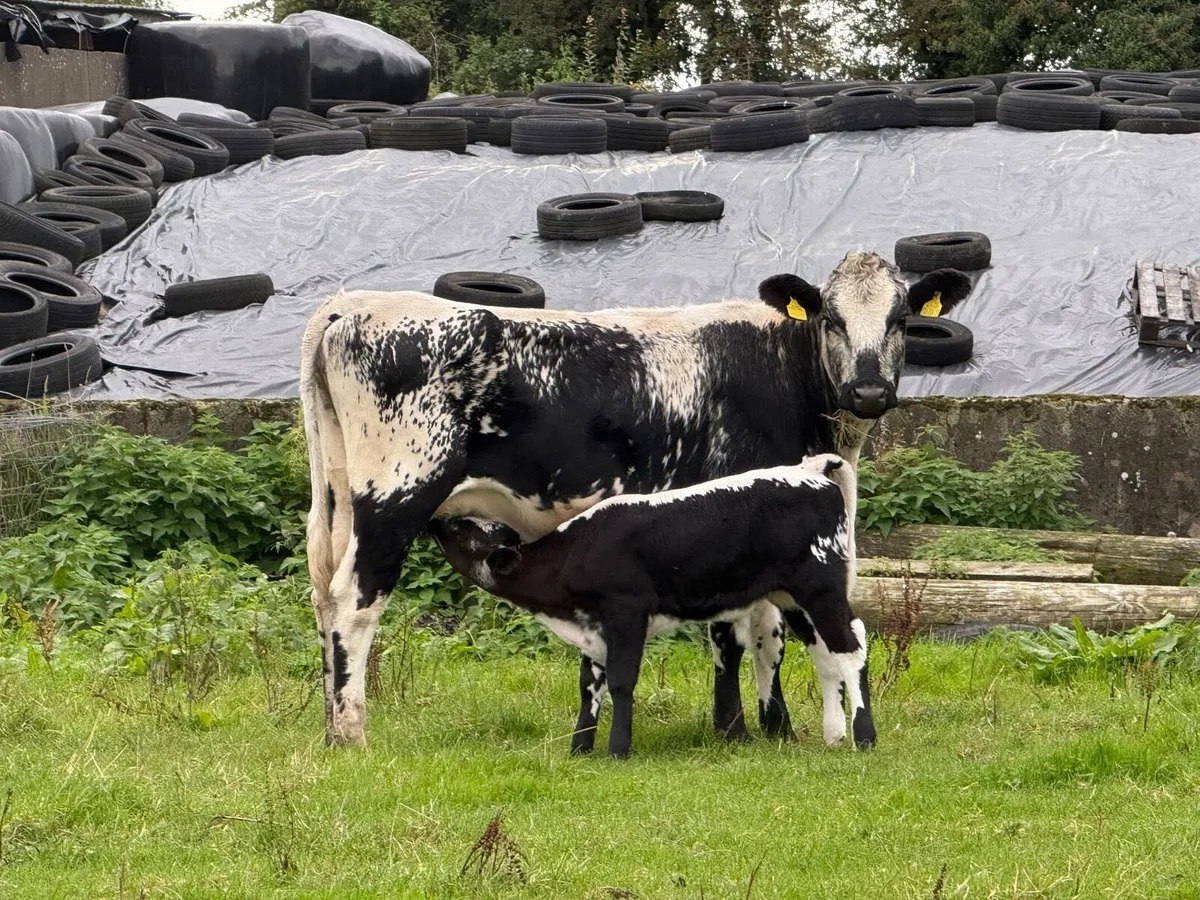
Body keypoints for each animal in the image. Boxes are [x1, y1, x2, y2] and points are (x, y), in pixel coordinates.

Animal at [428, 453, 870, 758]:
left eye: (467, 530)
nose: (437, 520)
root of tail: (810, 470)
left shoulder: (626, 610)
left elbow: (622, 680)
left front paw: (617, 749)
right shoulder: (594, 627)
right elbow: (589, 685)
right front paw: (579, 750)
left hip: (820, 586)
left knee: (851, 646)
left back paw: (864, 736)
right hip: (792, 597)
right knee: (826, 653)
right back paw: (834, 734)